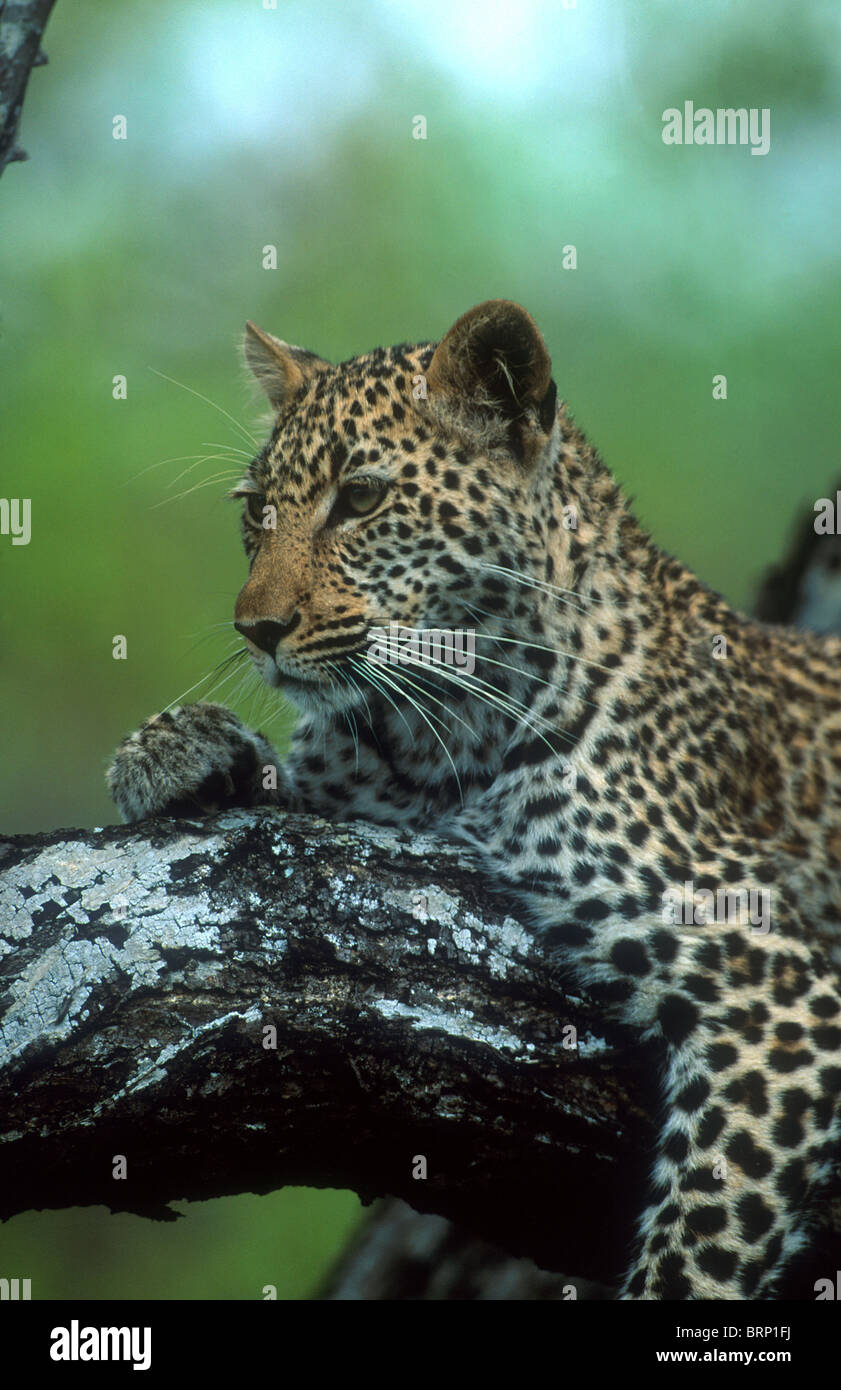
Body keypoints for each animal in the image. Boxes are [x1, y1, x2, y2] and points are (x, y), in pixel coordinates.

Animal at [108, 298, 839, 1295]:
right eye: (257, 511)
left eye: (361, 499)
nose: (255, 629)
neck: (433, 735)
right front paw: (170, 750)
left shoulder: (776, 984)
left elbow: (702, 1240)